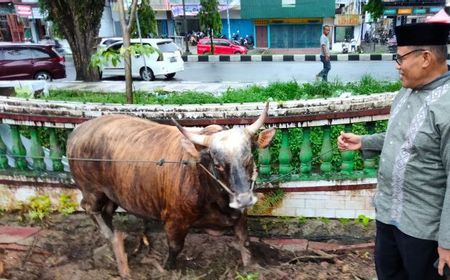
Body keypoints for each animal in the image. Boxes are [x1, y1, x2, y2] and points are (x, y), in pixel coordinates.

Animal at [66, 103, 274, 278]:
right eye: (218, 164)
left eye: (249, 158)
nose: (244, 199)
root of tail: (78, 131)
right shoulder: (174, 220)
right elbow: (175, 247)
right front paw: (168, 267)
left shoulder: (239, 215)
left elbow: (245, 241)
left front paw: (251, 266)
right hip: (92, 190)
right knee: (89, 208)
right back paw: (110, 237)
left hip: (111, 193)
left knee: (107, 211)